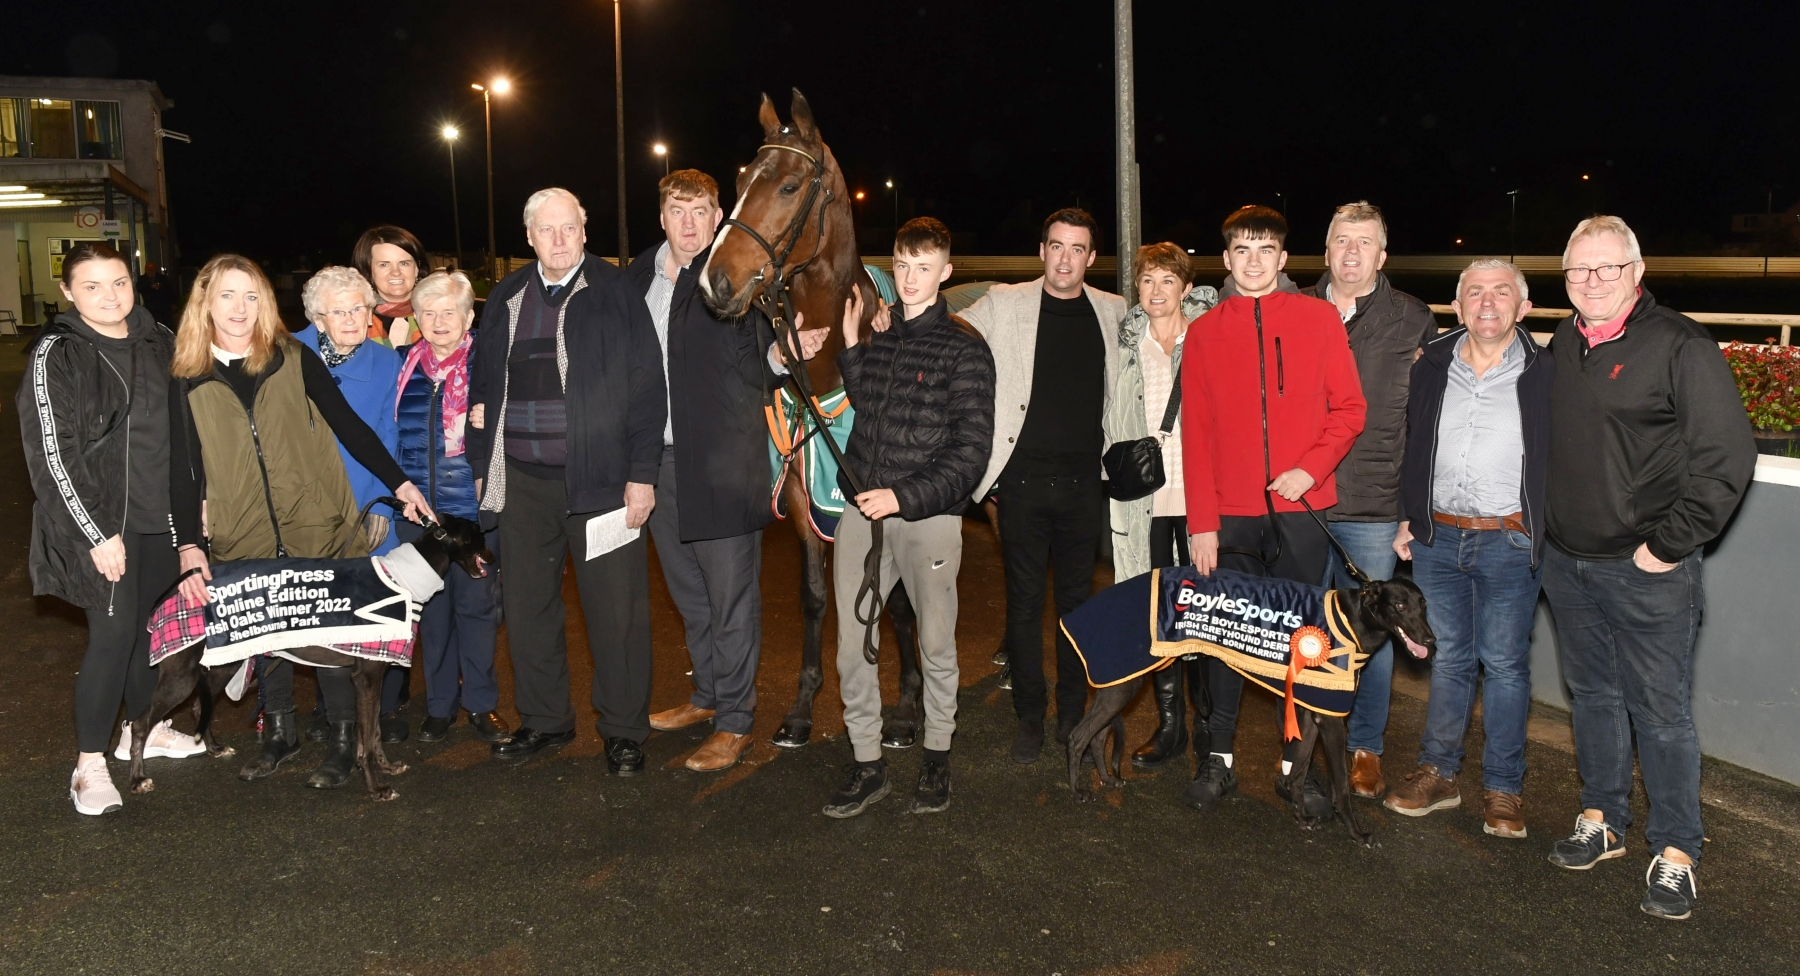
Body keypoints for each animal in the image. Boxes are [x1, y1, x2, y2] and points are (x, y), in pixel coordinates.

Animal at [702, 90, 928, 749]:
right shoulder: (806, 500)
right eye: (741, 180)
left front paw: (906, 706)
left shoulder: (882, 502)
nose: (714, 279)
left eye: (789, 185)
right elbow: (813, 596)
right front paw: (802, 707)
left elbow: (894, 600)